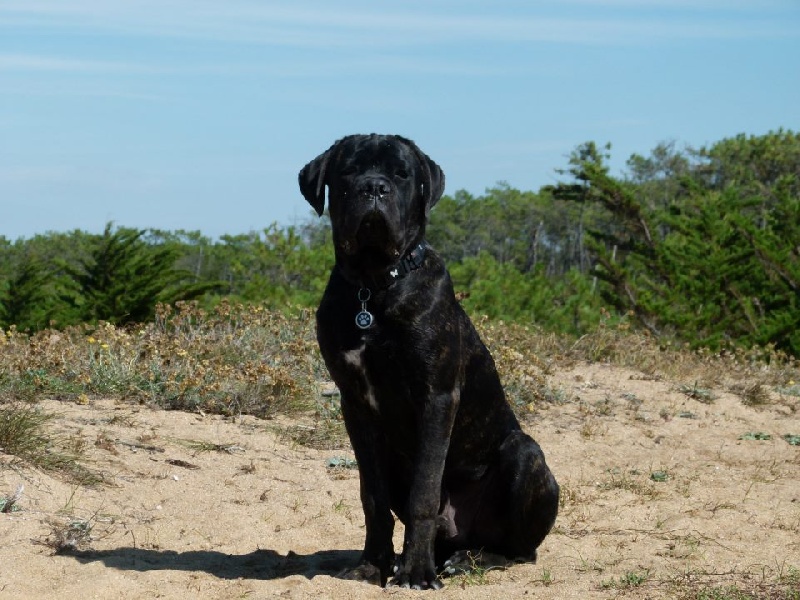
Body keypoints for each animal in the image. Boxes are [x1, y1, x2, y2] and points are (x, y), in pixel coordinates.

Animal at [298, 134, 556, 588]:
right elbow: (372, 496)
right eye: (348, 171)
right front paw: (373, 564)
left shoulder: (436, 396)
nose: (374, 187)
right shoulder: (355, 405)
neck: (374, 287)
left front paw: (416, 572)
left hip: (526, 456)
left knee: (519, 550)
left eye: (402, 174)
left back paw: (466, 560)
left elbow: (425, 492)